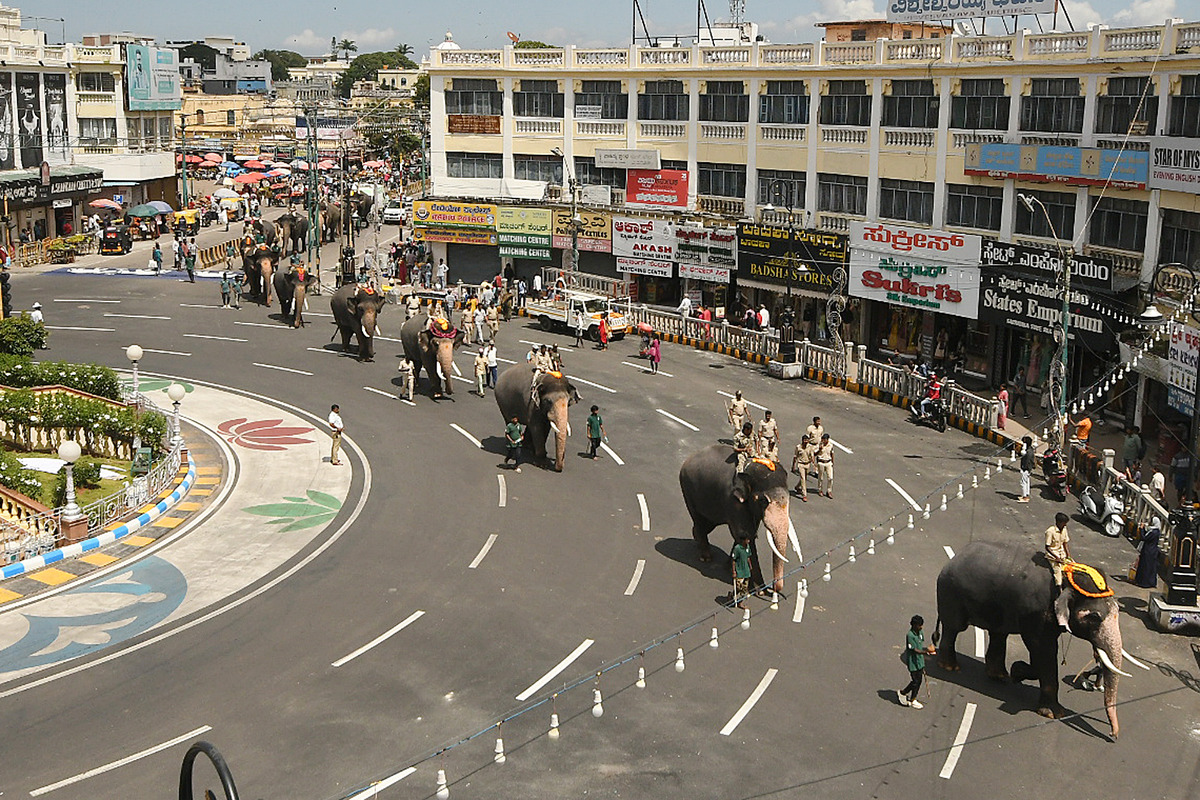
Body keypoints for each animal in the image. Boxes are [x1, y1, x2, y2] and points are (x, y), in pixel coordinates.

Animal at [681, 448, 801, 597]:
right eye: (763, 501)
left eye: (788, 499)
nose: (772, 589)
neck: (749, 465)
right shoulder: (734, 501)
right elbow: (745, 535)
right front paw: (760, 590)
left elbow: (745, 535)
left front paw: (728, 566)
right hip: (687, 490)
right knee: (698, 520)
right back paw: (706, 558)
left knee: (708, 523)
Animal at [926, 542, 1142, 743]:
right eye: (1095, 617)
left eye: (1118, 611)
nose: (1113, 735)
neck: (1065, 577)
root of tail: (953, 559)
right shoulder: (1037, 613)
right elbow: (1043, 650)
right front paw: (1054, 712)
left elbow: (1041, 656)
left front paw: (1016, 672)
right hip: (950, 595)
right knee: (954, 628)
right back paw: (950, 667)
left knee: (998, 634)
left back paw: (1000, 676)